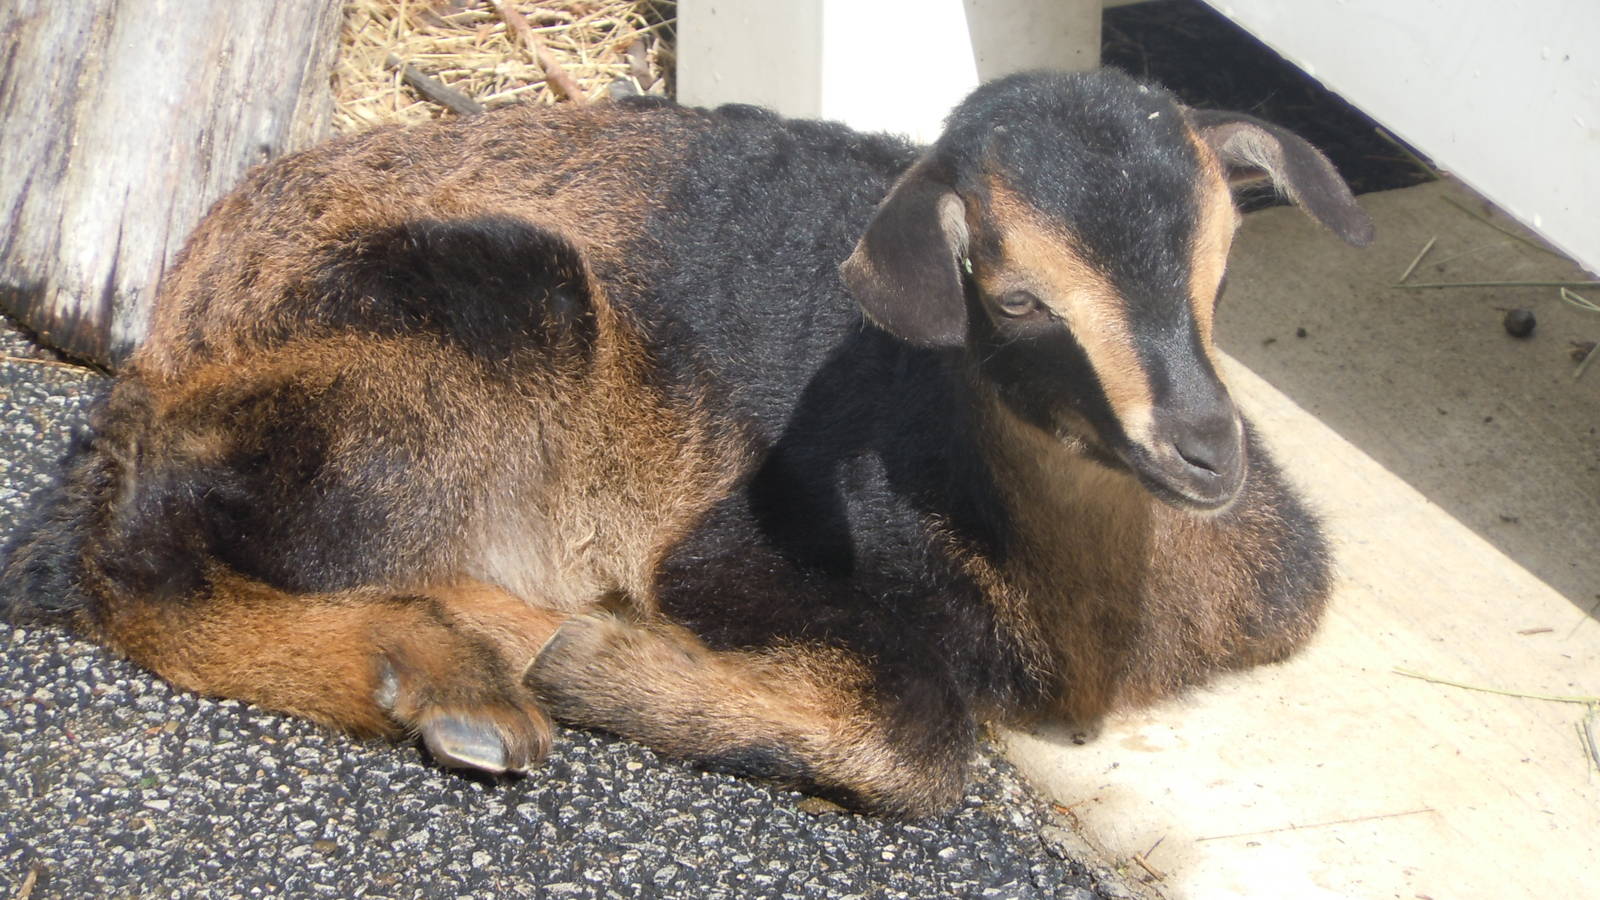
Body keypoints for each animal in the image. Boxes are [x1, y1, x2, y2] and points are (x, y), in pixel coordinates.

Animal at [2, 69, 1372, 817]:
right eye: (1017, 296)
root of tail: (175, 325)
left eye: (1218, 266)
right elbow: (924, 737)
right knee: (129, 560)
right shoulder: (737, 555)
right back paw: (458, 686)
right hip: (442, 340)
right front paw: (603, 666)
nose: (1204, 450)